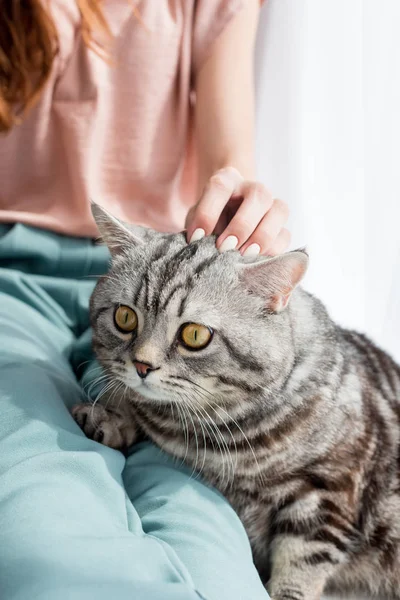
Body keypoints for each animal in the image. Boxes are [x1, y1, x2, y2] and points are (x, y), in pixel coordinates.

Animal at [72, 204, 400, 596]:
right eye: (124, 317)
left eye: (194, 335)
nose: (142, 365)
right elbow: (131, 399)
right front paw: (109, 413)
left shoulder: (330, 493)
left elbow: (301, 566)